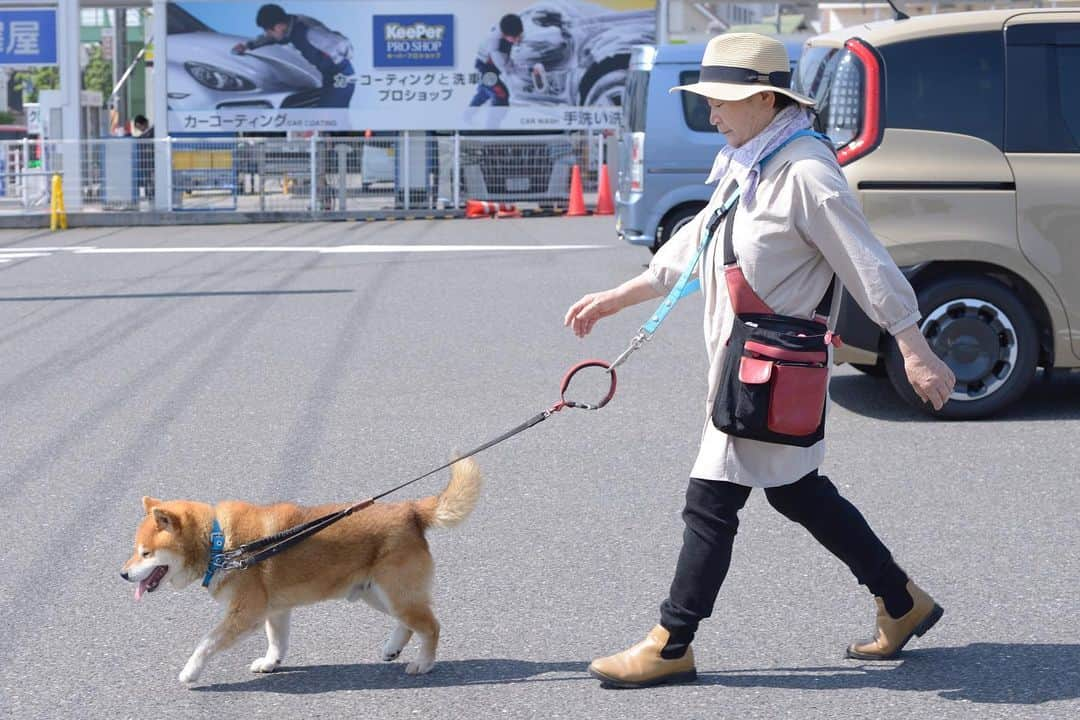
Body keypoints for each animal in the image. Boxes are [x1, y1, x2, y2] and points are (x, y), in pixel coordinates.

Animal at [119, 459, 486, 686]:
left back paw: (424, 663)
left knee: (431, 626)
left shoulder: (247, 612)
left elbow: (205, 643)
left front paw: (190, 671)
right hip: (376, 593)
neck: (218, 541)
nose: (122, 575)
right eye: (136, 550)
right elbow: (277, 641)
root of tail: (410, 511)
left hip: (395, 593)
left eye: (145, 553)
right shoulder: (274, 610)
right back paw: (393, 648)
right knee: (410, 624)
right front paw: (270, 663)